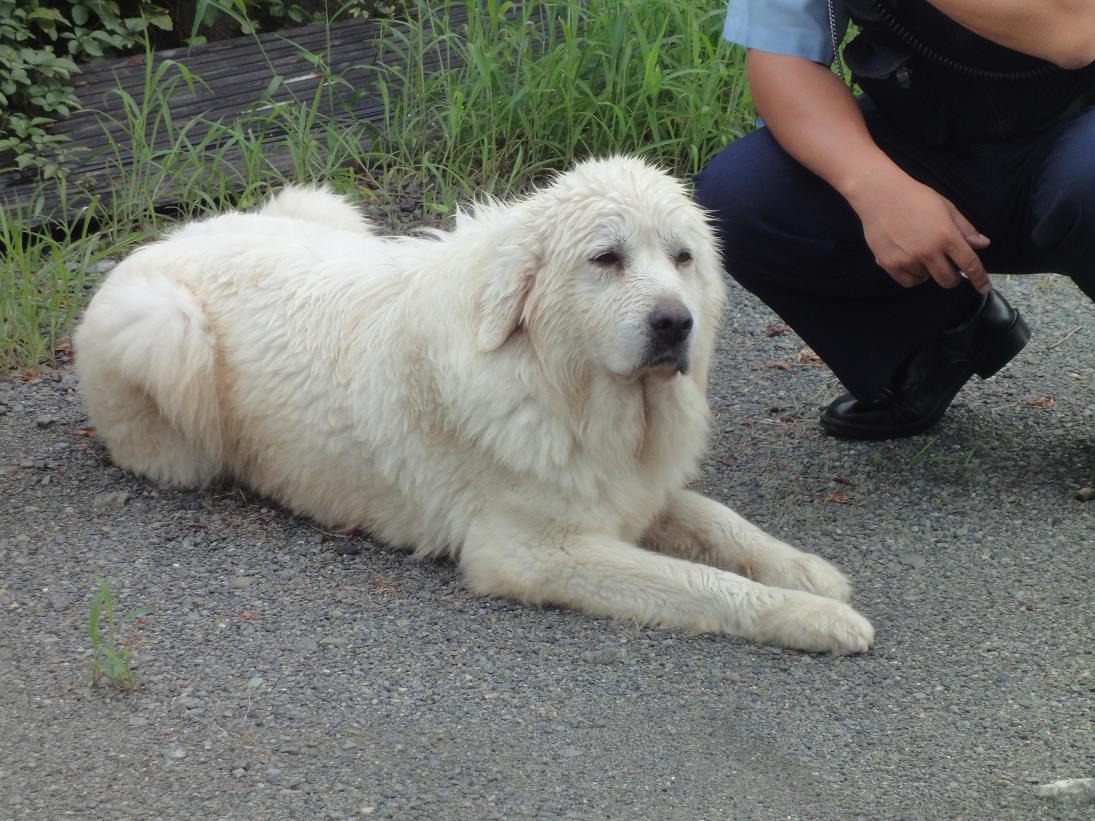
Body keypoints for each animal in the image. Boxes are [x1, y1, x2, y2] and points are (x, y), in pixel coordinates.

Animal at [75, 157, 871, 652]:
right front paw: (818, 617)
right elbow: (704, 584)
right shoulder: (538, 552)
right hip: (165, 331)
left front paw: (805, 571)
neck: (559, 385)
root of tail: (159, 241)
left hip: (320, 204)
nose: (677, 323)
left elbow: (721, 523)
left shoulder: (632, 490)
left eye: (683, 258)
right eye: (606, 259)